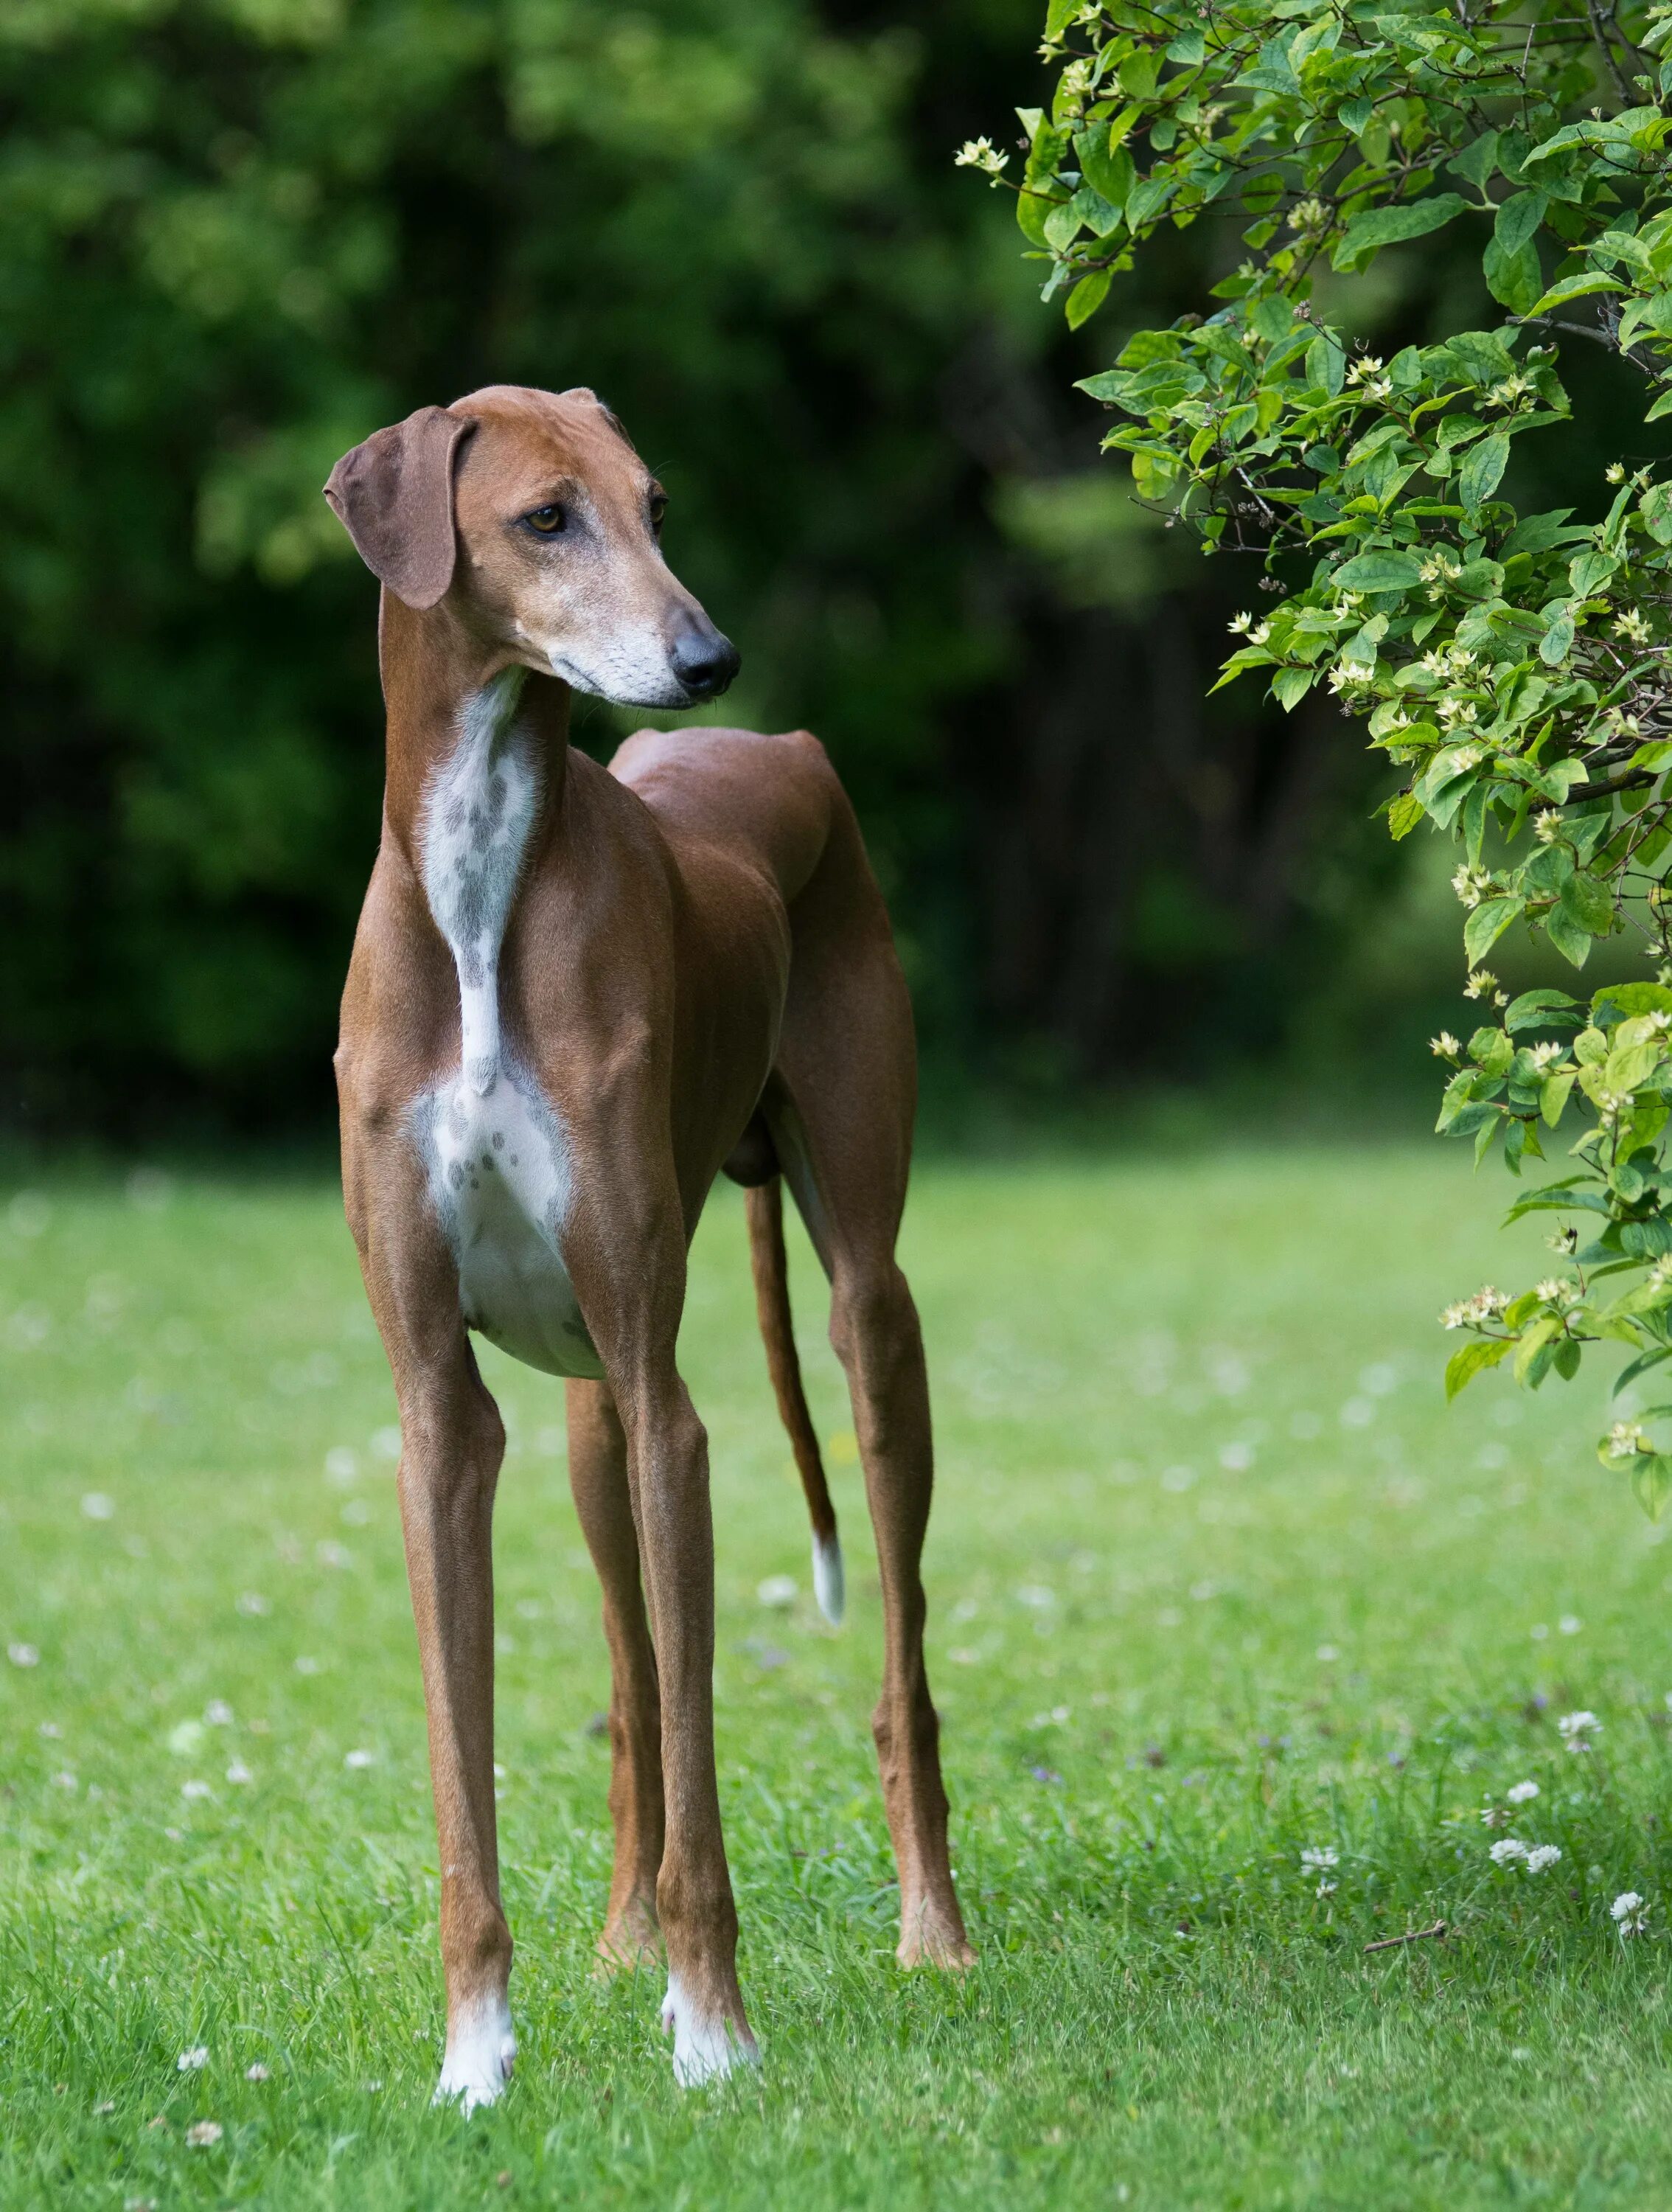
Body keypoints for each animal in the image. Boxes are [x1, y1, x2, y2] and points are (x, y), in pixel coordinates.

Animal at [325, 385, 973, 2106]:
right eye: (547, 518)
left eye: (658, 502)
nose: (708, 656)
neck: (482, 889)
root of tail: (779, 749)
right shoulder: (440, 1419)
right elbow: (479, 1791)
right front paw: (476, 2062)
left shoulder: (668, 1399)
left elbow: (706, 1773)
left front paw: (714, 2038)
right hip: (579, 1424)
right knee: (630, 1696)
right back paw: (617, 1945)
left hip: (864, 1326)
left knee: (896, 1675)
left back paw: (933, 1935)